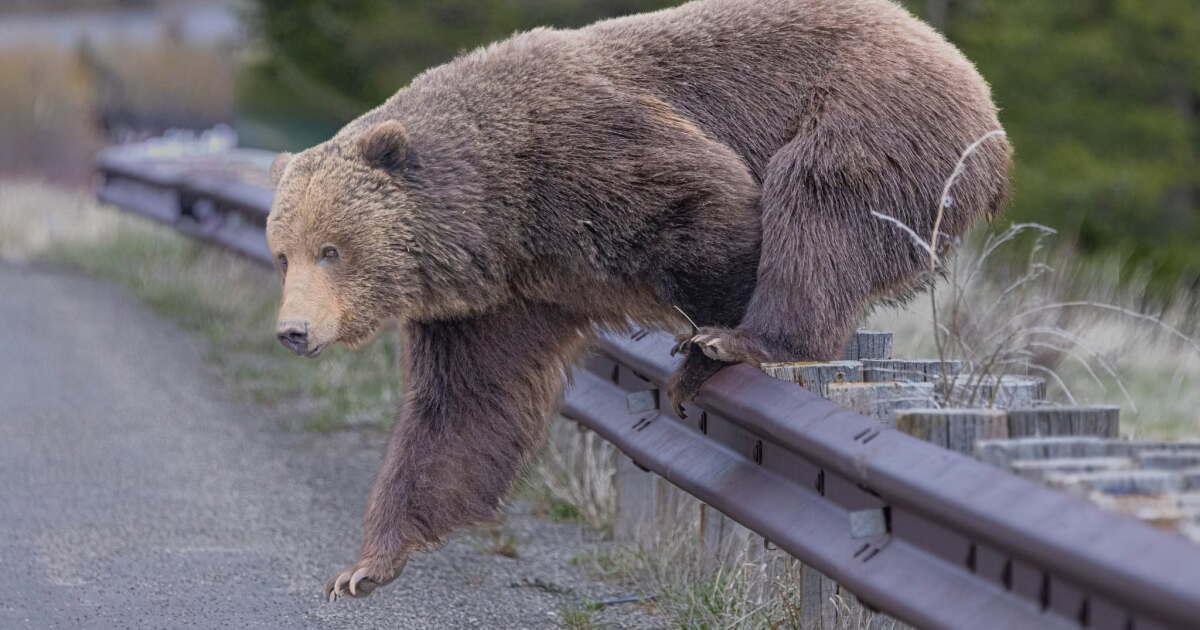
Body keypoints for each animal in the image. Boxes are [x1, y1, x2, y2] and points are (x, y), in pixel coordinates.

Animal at [265, 0, 1011, 601]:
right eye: (283, 252)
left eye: (332, 248)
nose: (293, 330)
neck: (497, 213)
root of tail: (968, 76)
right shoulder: (501, 296)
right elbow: (463, 406)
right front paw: (365, 566)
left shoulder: (588, 158)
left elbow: (712, 205)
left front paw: (703, 348)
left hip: (874, 115)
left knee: (818, 202)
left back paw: (748, 340)